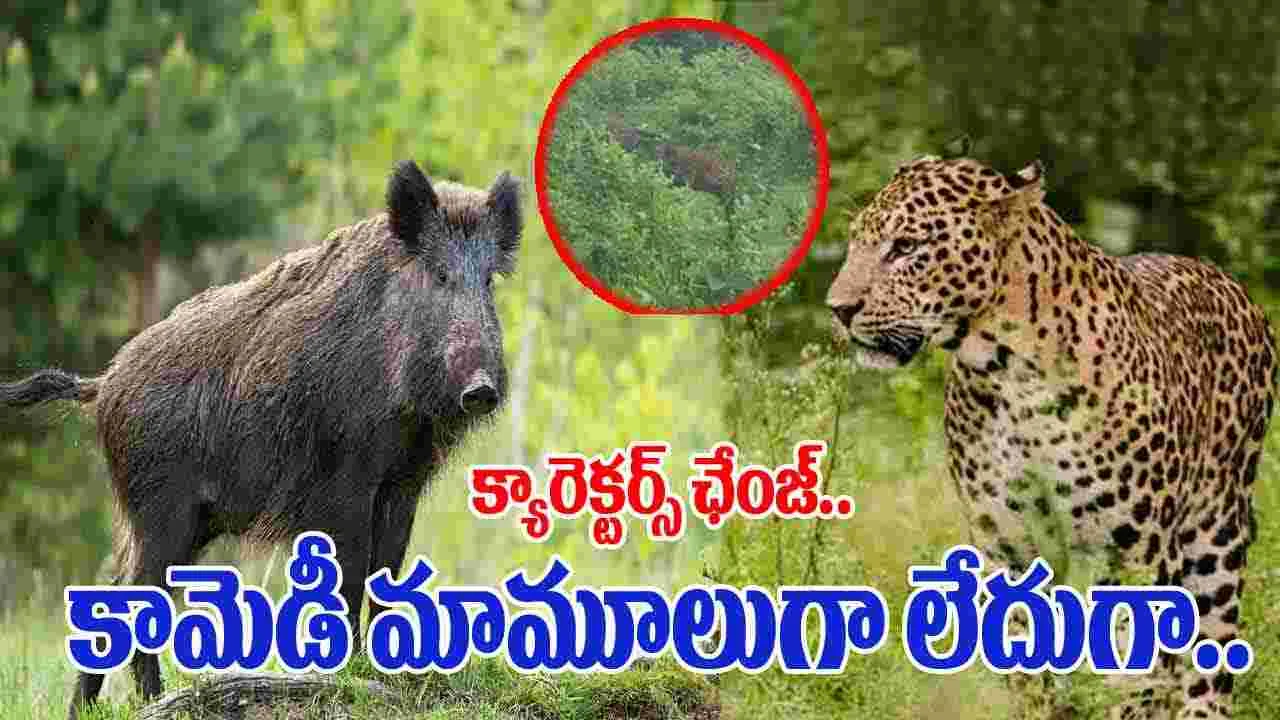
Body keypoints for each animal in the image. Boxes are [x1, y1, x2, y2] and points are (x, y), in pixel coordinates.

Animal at [0, 160, 521, 718]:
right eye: (440, 274)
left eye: (489, 280)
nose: (481, 389)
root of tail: (102, 384)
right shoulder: (345, 480)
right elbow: (351, 575)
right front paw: (350, 675)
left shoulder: (403, 483)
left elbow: (388, 575)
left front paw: (387, 674)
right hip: (162, 508)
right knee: (139, 596)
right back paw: (160, 701)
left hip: (180, 520)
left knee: (114, 593)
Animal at [825, 155, 1277, 719]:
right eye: (855, 242)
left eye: (906, 247)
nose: (838, 307)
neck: (1009, 374)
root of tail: (1226, 281)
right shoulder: (1008, 548)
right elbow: (1028, 670)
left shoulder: (1135, 555)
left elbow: (1136, 677)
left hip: (1216, 535)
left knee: (1207, 667)